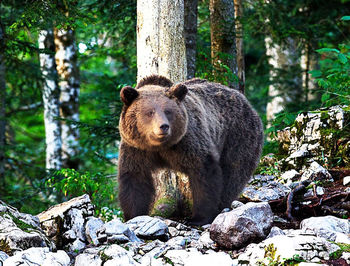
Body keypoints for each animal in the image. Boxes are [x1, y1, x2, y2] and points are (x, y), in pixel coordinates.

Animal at [117, 74, 262, 224]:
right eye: (150, 112)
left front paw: (199, 217)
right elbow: (135, 179)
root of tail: (245, 101)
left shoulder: (187, 142)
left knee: (233, 172)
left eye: (168, 111)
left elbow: (203, 173)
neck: (160, 146)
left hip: (237, 135)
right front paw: (133, 215)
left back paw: (223, 204)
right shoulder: (136, 148)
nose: (163, 126)